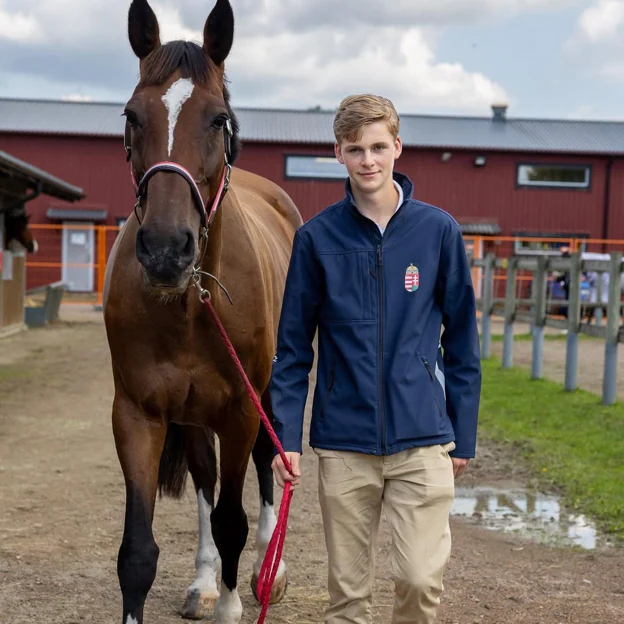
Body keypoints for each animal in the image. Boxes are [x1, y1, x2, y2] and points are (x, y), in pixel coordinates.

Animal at [104, 1, 302, 624]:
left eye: (218, 119)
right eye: (132, 115)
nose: (166, 249)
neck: (191, 307)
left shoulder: (240, 409)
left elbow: (233, 518)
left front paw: (236, 602)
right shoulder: (138, 414)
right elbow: (138, 551)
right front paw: (208, 584)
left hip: (268, 391)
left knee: (267, 463)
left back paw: (269, 572)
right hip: (192, 415)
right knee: (204, 479)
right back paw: (204, 580)